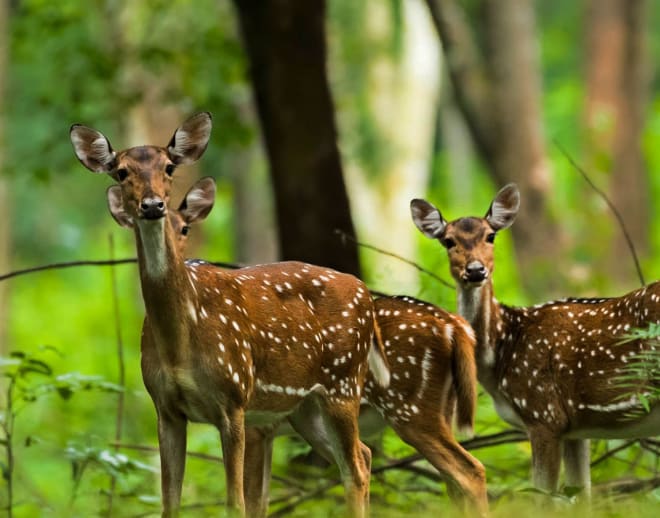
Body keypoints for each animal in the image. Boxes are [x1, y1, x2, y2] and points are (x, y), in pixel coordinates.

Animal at [69, 114, 390, 518]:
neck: (180, 343)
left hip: (343, 383)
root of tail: (365, 294)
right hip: (305, 408)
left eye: (169, 166)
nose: (153, 205)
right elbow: (170, 504)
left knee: (356, 469)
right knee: (362, 456)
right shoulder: (166, 408)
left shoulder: (234, 397)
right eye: (121, 171)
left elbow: (235, 502)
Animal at [146, 178, 484, 516]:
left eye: (185, 229)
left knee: (468, 471)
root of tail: (454, 325)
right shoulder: (263, 426)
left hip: (411, 408)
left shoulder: (251, 423)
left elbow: (252, 500)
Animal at [410, 185, 660, 498]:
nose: (476, 270)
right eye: (448, 241)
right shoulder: (576, 429)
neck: (500, 353)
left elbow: (542, 496)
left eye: (490, 235)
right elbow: (580, 495)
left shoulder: (543, 413)